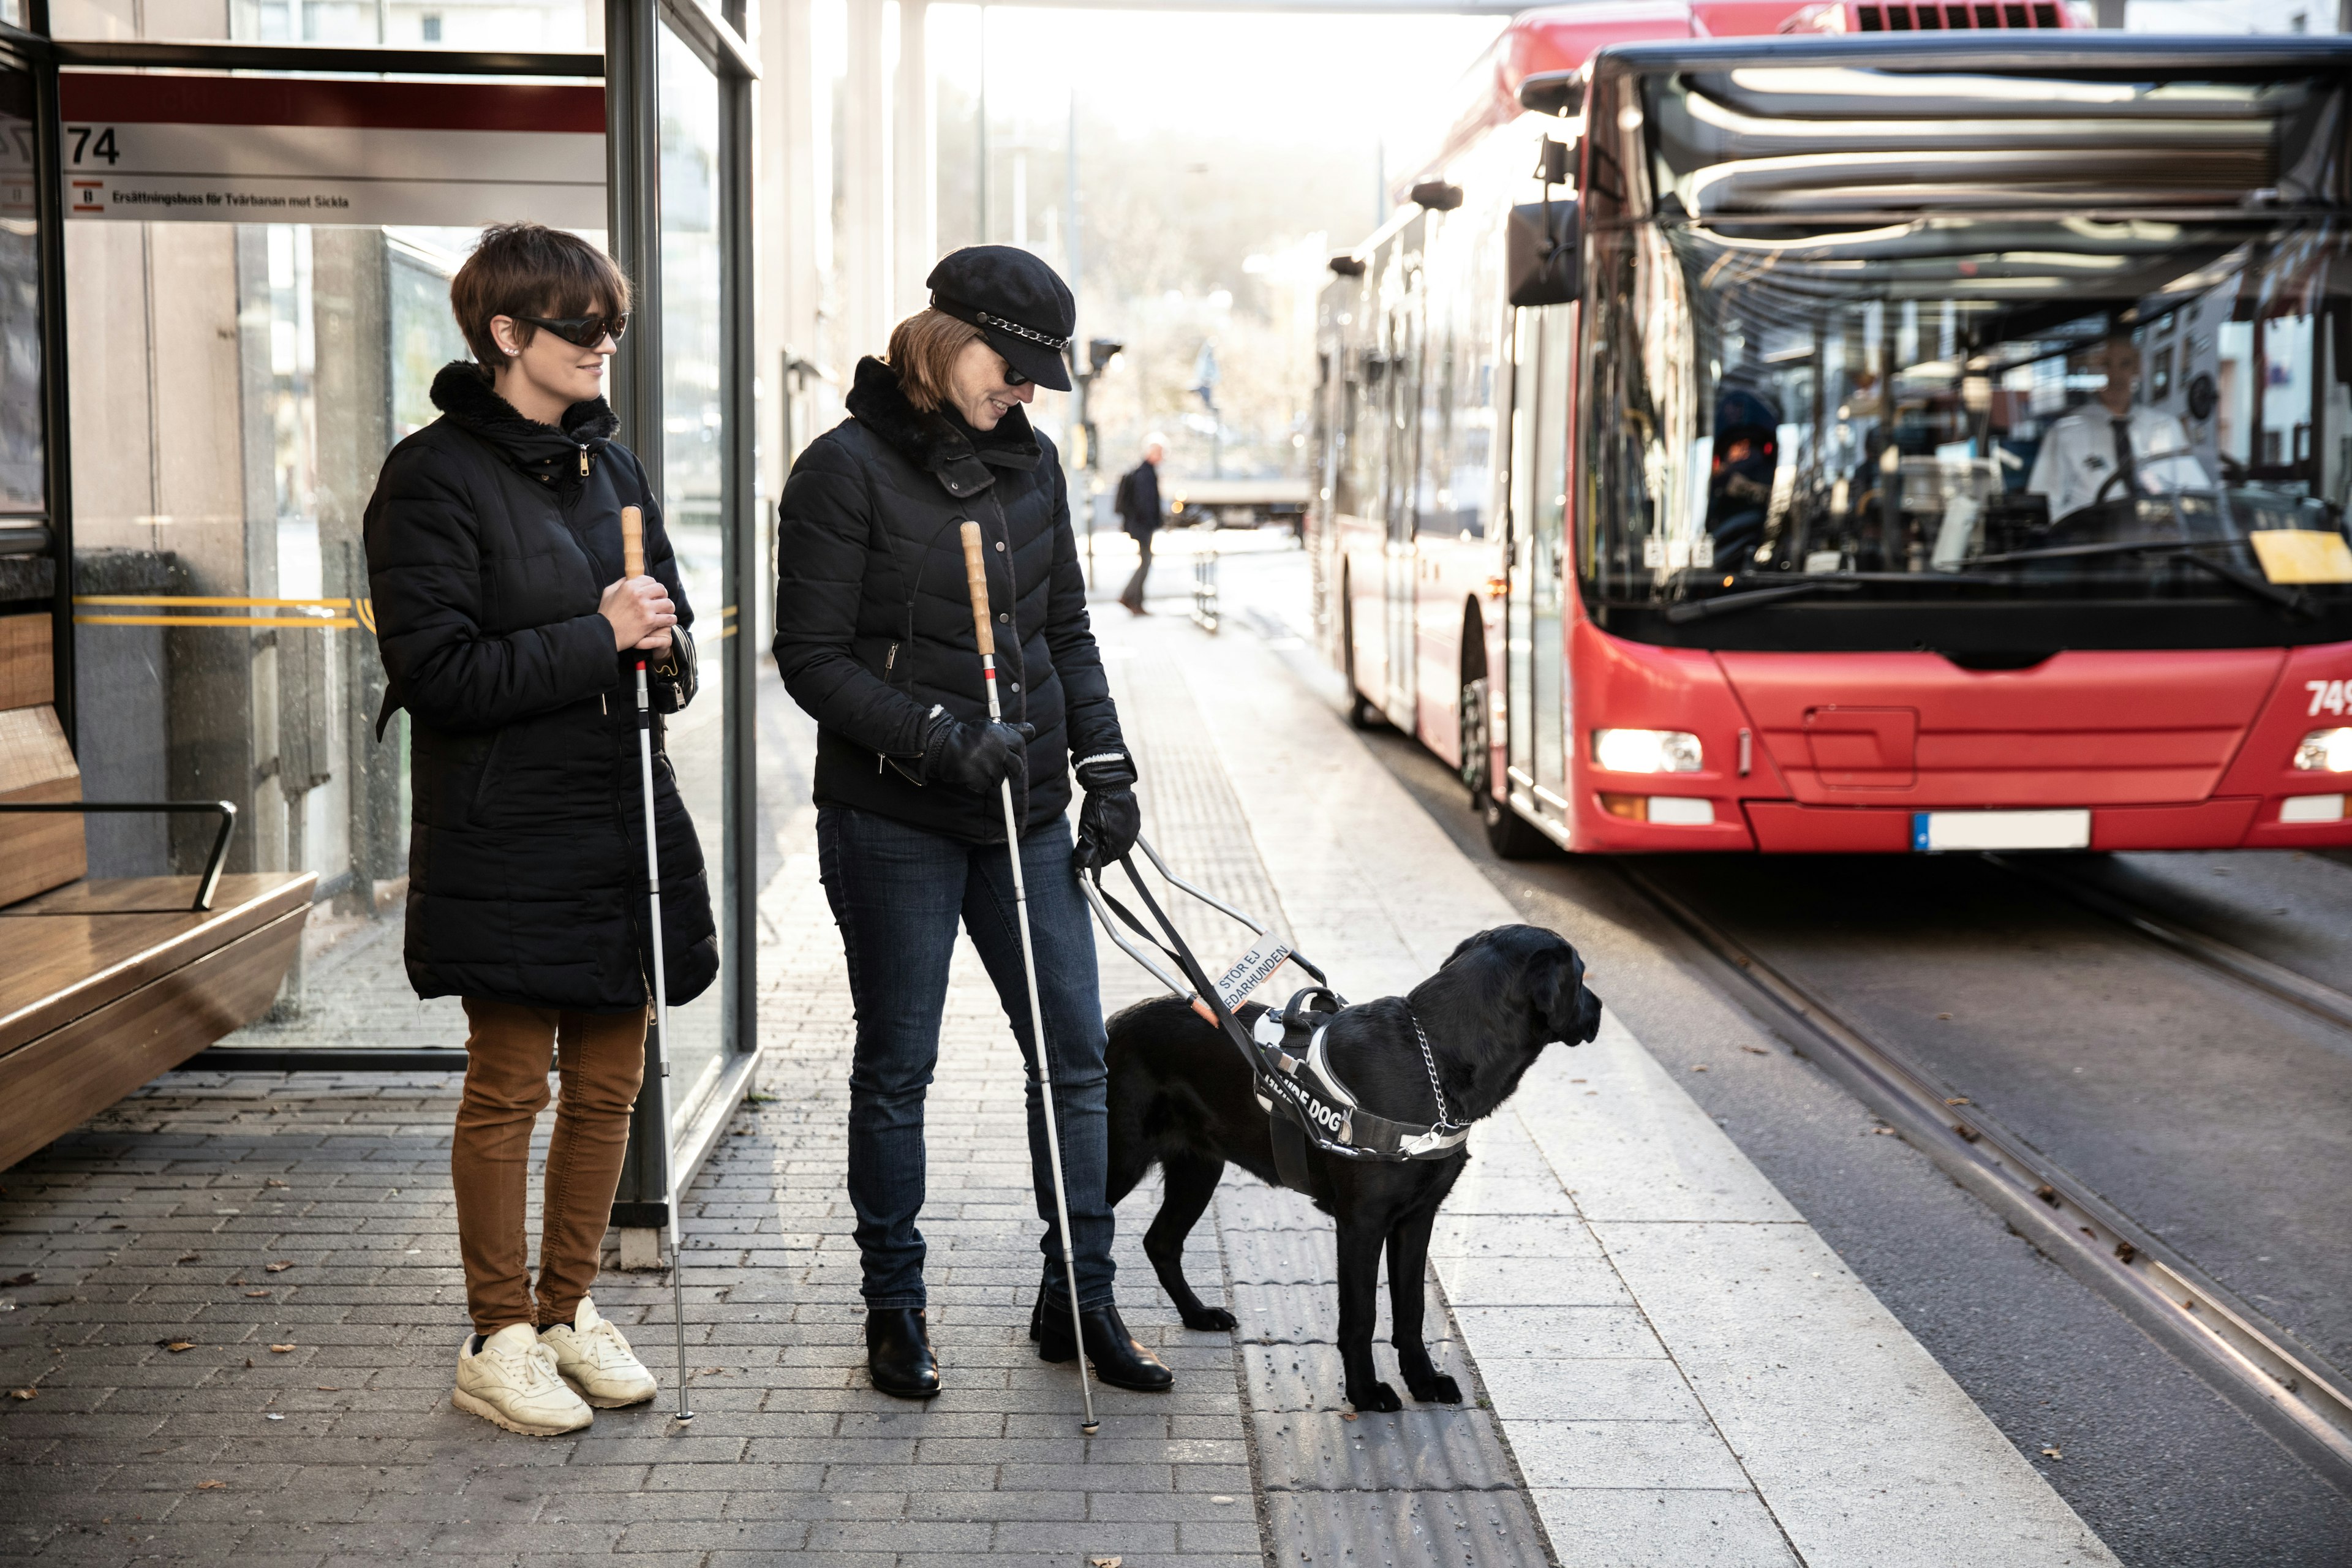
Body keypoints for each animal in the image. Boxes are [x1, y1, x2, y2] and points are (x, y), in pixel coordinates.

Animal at [1101, 926, 1599, 1420]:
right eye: (1581, 975)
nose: (1598, 1008)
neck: (1435, 1059)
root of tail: (1111, 1023)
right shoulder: (1362, 1222)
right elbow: (1362, 1315)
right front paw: (1365, 1391)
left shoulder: (1417, 1217)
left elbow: (1412, 1308)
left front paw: (1423, 1380)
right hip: (1119, 1161)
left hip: (1200, 1169)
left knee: (1160, 1242)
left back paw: (1197, 1315)